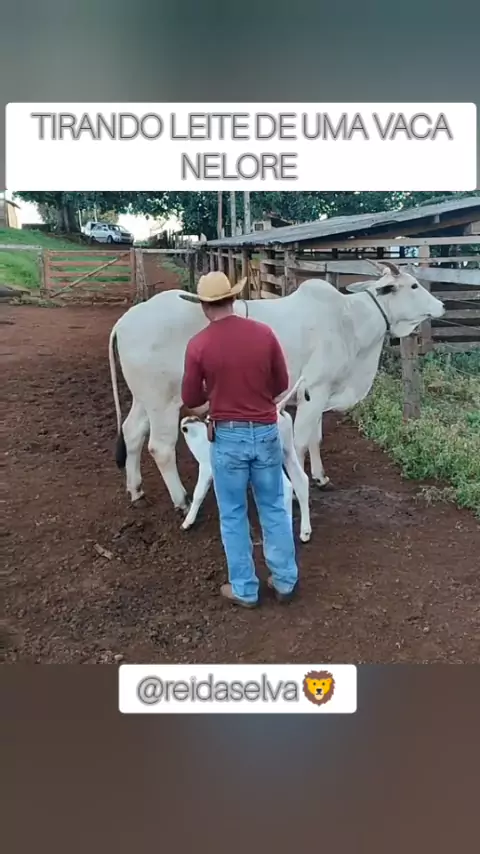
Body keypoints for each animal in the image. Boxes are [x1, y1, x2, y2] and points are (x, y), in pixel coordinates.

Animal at [108, 260, 445, 515]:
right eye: (414, 286)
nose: (441, 305)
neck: (349, 322)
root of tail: (124, 322)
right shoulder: (314, 390)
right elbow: (299, 443)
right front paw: (296, 489)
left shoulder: (317, 395)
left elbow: (315, 439)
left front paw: (321, 477)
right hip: (163, 401)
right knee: (160, 447)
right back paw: (182, 500)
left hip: (144, 399)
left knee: (132, 433)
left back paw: (136, 490)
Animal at [179, 376, 312, 541]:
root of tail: (278, 408)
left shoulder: (206, 467)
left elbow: (198, 493)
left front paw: (187, 522)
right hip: (288, 451)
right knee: (301, 480)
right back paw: (305, 532)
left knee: (287, 487)